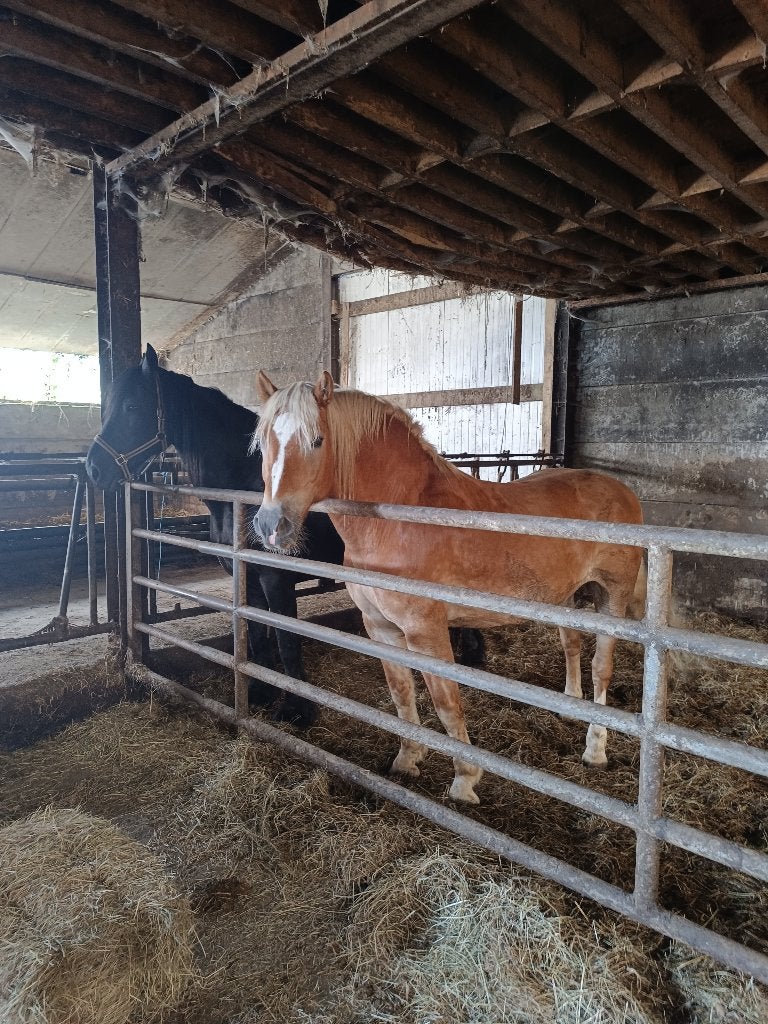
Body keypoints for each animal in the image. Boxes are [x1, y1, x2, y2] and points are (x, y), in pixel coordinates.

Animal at [252, 371, 646, 805]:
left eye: (317, 440)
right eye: (263, 441)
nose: (271, 525)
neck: (401, 518)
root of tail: (622, 491)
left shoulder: (426, 632)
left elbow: (446, 702)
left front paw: (464, 780)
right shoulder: (380, 628)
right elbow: (401, 692)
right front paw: (407, 759)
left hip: (612, 598)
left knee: (601, 667)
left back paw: (596, 750)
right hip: (566, 597)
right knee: (571, 645)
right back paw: (570, 707)